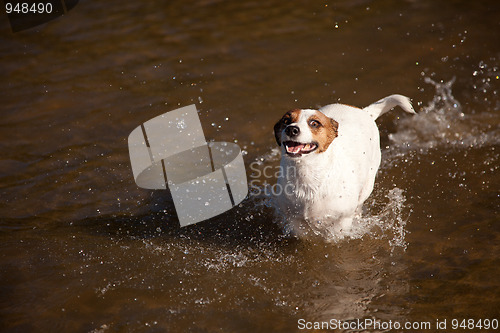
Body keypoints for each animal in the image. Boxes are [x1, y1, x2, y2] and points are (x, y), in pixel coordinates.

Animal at [274, 94, 414, 237]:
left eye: (314, 123)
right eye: (286, 120)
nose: (291, 129)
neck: (307, 174)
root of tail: (365, 111)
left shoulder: (342, 222)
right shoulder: (295, 221)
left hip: (367, 184)